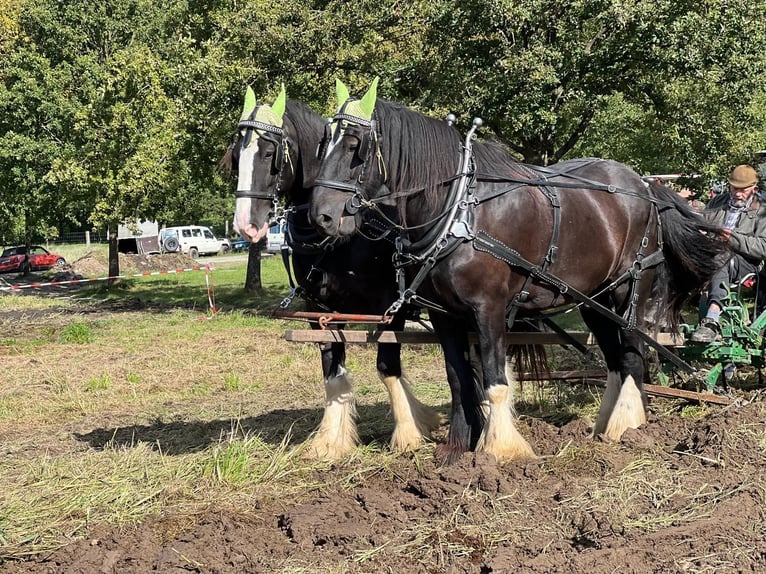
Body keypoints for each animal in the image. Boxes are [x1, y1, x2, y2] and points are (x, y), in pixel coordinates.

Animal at [224, 86, 441, 459]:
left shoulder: (391, 307)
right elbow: (332, 371)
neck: (342, 240)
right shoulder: (320, 310)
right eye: (237, 156)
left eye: (269, 153)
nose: (245, 226)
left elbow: (388, 366)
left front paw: (410, 434)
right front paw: (331, 442)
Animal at [307, 78, 729, 464]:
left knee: (632, 355)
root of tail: (644, 185)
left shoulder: (489, 309)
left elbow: (495, 380)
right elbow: (458, 379)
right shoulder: (445, 315)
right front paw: (457, 450)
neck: (459, 212)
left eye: (354, 146)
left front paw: (502, 450)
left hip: (629, 292)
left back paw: (628, 428)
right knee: (614, 358)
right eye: (323, 144)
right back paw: (605, 426)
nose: (322, 216)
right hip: (593, 300)